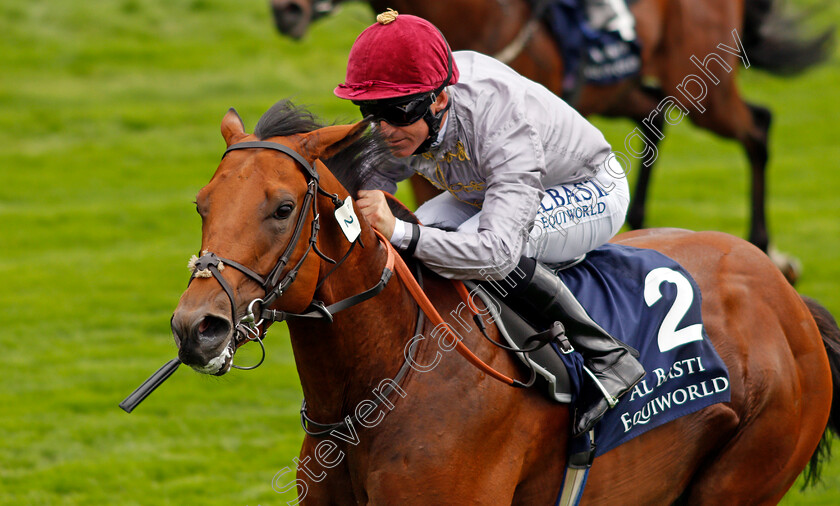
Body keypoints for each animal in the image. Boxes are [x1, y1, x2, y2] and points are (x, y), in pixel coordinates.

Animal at [270, 0, 832, 284]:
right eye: (370, 113)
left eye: (398, 108)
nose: (286, 11)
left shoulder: (508, 140)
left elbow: (495, 247)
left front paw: (382, 220)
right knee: (655, 120)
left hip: (698, 95)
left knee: (757, 128)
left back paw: (769, 249)